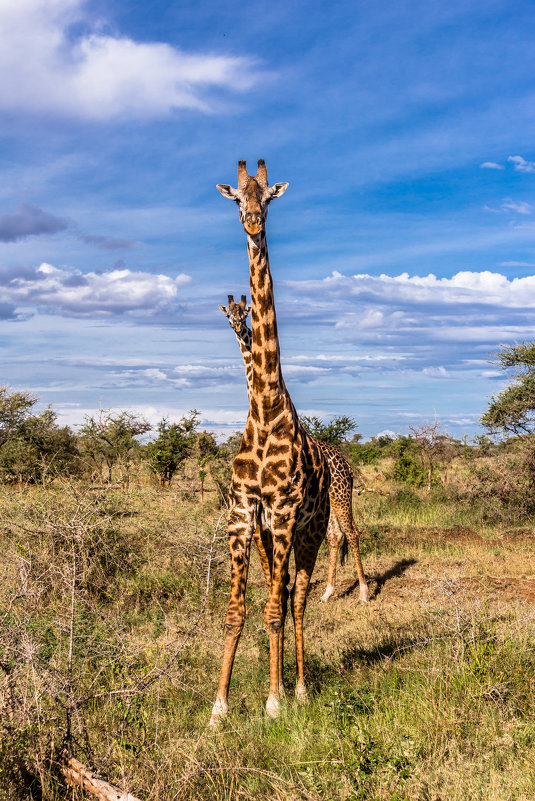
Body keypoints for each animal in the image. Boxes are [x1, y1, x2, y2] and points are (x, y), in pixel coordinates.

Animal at [220, 296, 370, 604]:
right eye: (229, 315)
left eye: (245, 313)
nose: (238, 327)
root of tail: (347, 466)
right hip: (328, 503)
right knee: (335, 535)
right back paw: (327, 593)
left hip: (340, 495)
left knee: (352, 532)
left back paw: (363, 592)